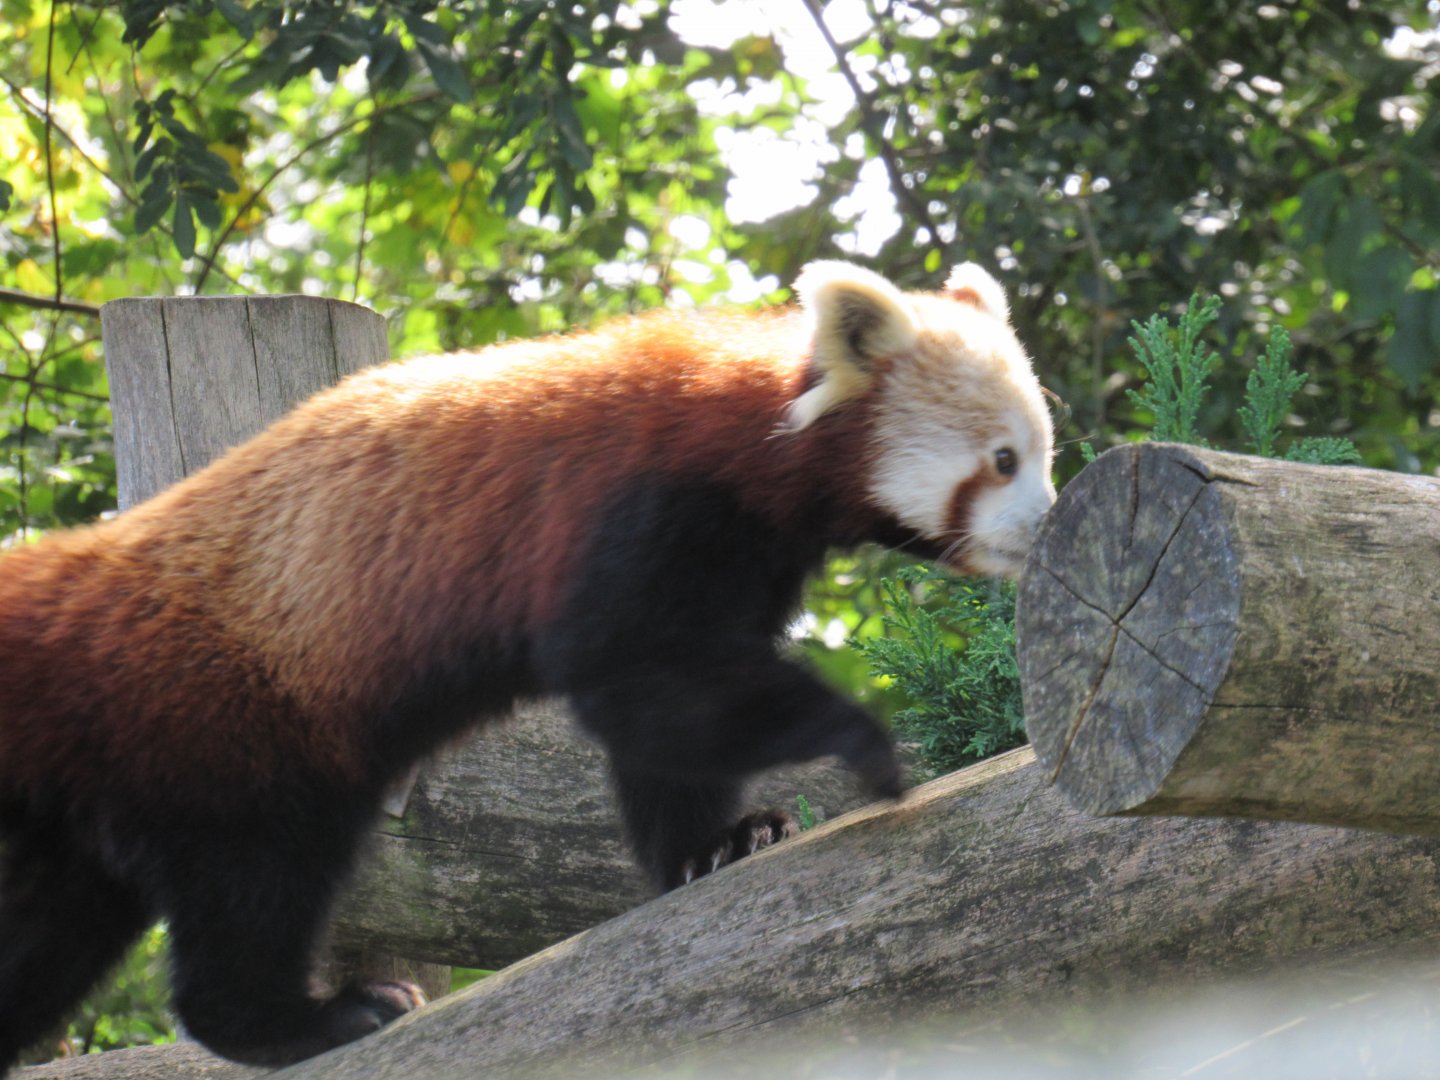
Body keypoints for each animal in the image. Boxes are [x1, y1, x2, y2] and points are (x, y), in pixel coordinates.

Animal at [0, 260, 1055, 1069]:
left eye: (1039, 452)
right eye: (1004, 460)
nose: (1048, 521)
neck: (750, 432)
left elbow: (670, 723)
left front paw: (715, 846)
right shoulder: (638, 504)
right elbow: (636, 675)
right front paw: (864, 744)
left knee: (44, 939)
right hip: (229, 725)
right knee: (253, 884)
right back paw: (308, 1019)